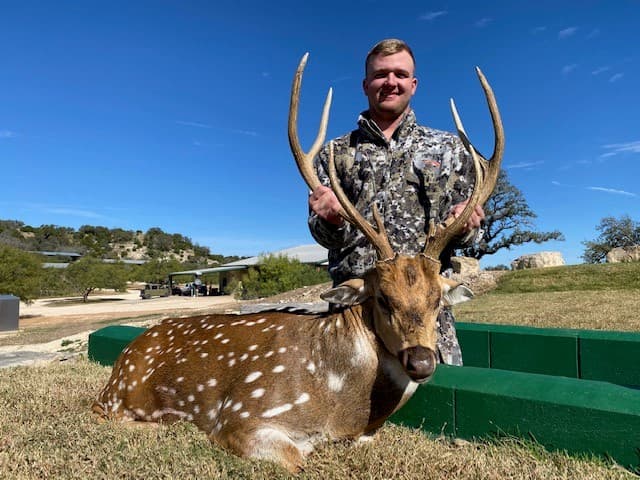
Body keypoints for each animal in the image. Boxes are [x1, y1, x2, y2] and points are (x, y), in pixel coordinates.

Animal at [92, 53, 504, 473]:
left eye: (438, 300)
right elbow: (297, 461)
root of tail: (123, 358)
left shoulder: (362, 436)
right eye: (382, 298)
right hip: (121, 394)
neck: (341, 410)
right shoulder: (241, 416)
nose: (421, 361)